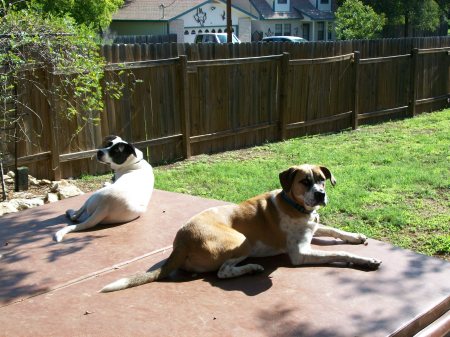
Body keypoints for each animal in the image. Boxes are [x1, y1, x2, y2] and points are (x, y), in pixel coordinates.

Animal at [101, 163, 380, 292]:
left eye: (322, 180)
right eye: (305, 181)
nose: (321, 194)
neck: (294, 205)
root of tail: (180, 242)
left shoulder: (314, 227)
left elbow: (335, 231)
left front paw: (355, 236)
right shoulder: (300, 254)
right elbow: (339, 252)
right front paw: (366, 260)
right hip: (242, 240)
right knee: (223, 272)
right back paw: (251, 268)